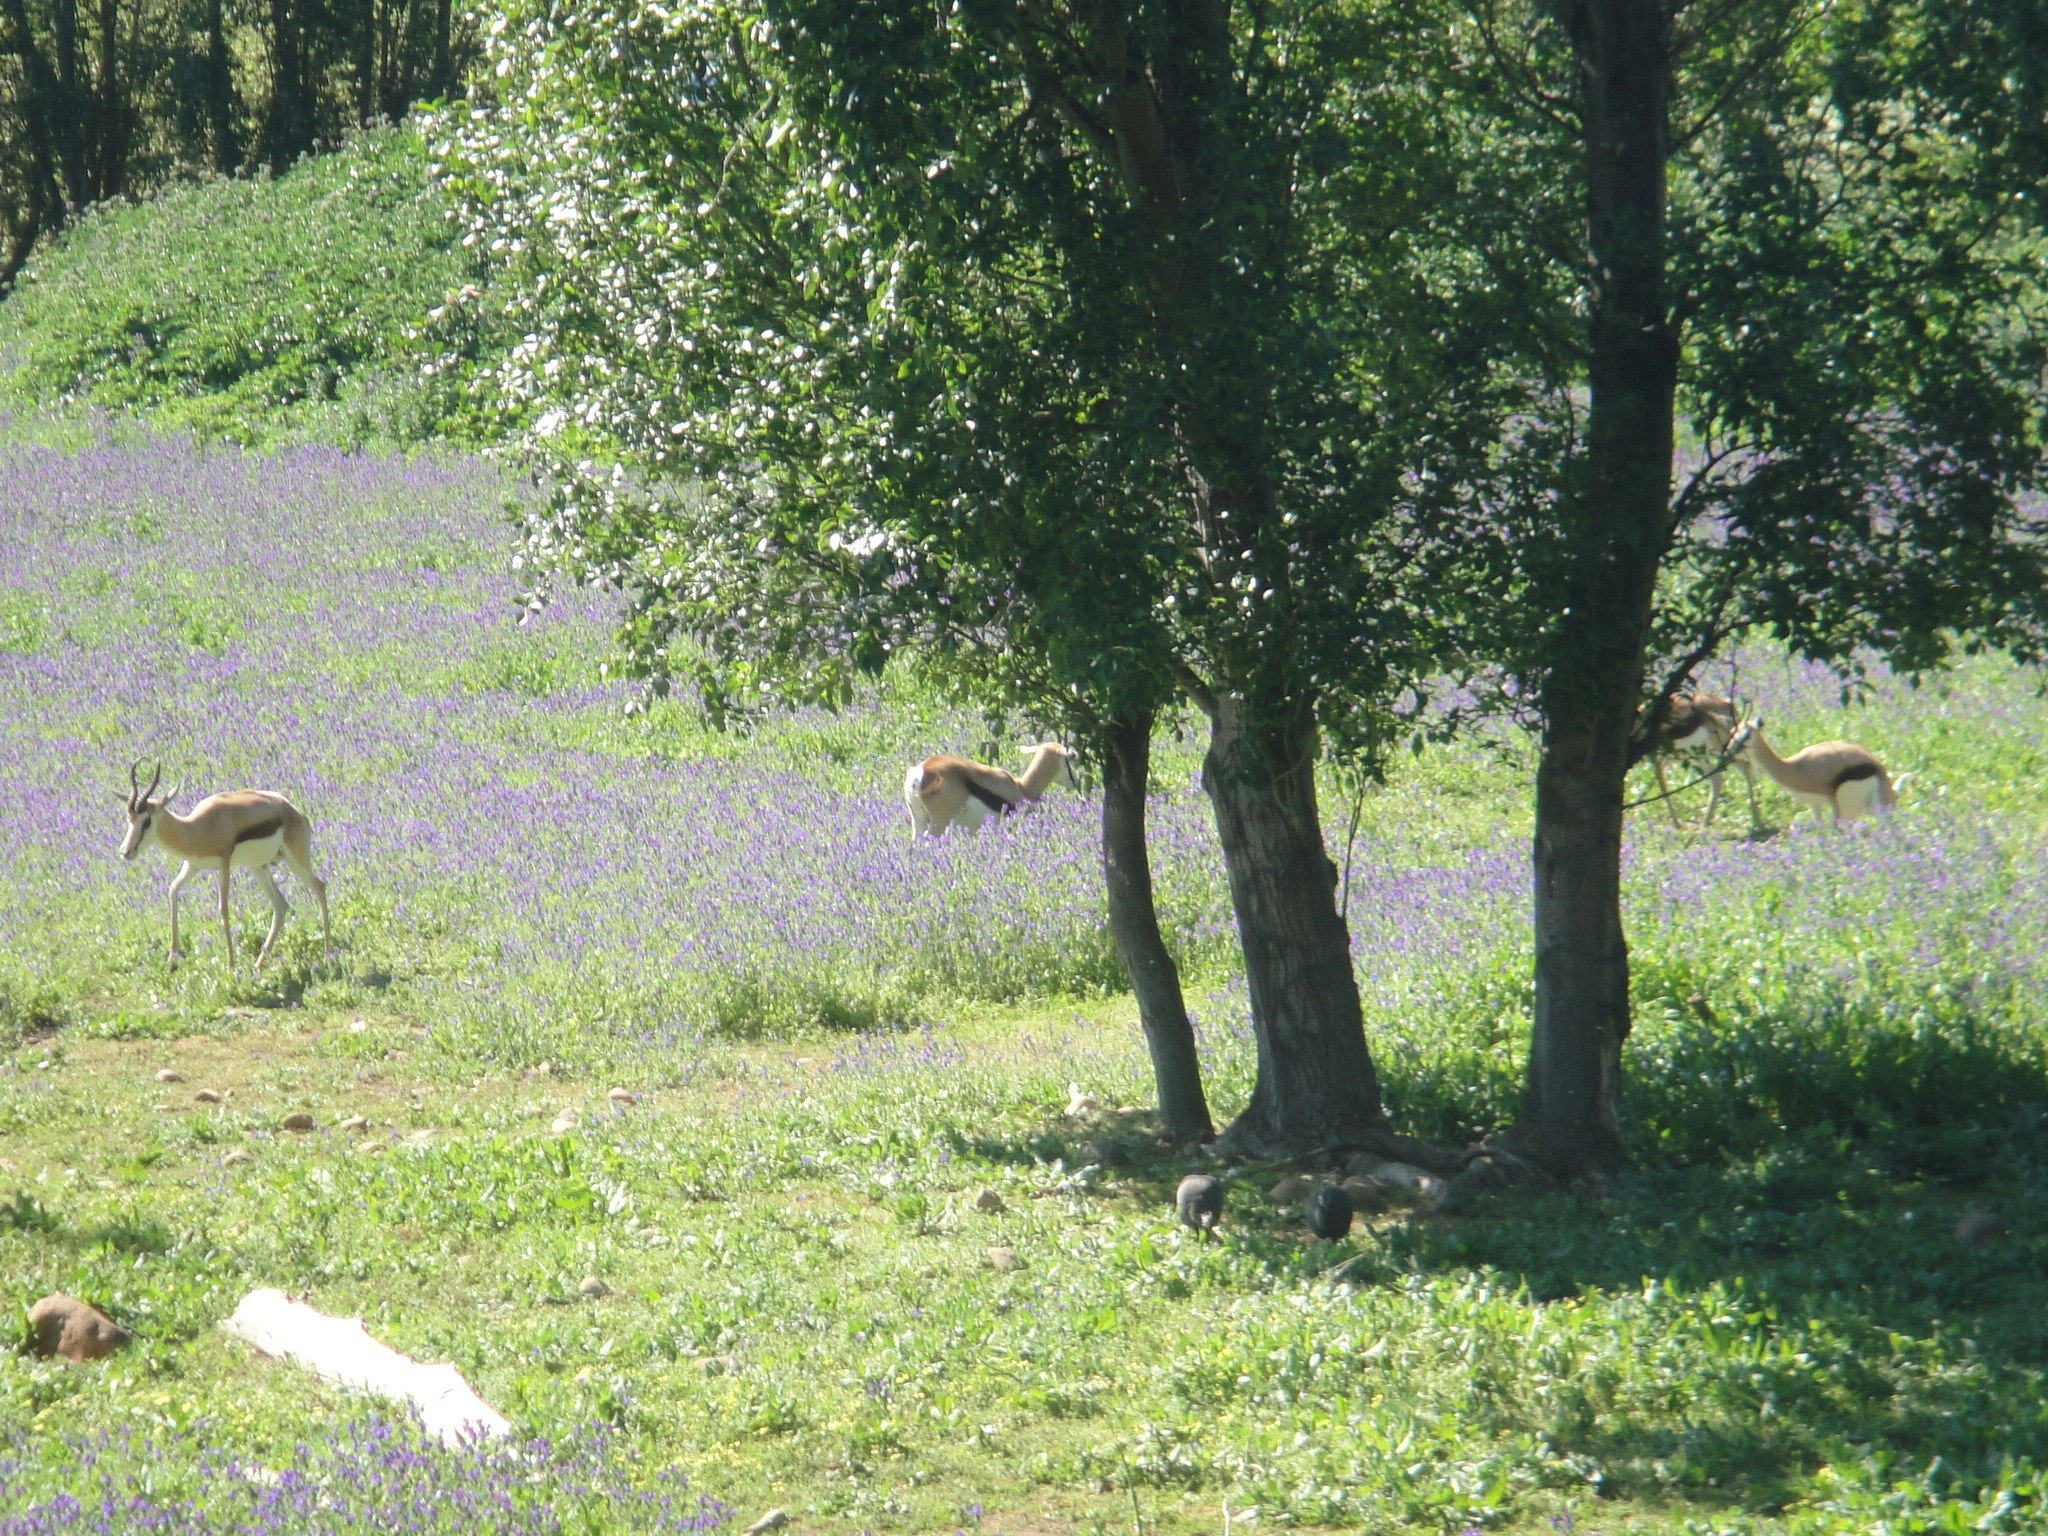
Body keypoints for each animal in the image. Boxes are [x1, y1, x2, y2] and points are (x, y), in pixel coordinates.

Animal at [119, 760, 332, 971]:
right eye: (129, 819)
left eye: (147, 820)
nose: (125, 851)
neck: (196, 827)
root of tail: (295, 811)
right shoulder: (193, 865)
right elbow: (172, 890)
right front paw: (171, 959)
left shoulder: (225, 864)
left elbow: (223, 908)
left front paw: (231, 964)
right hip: (258, 867)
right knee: (280, 905)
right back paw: (258, 965)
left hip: (296, 860)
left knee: (320, 887)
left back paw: (327, 955)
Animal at [903, 743, 1077, 837]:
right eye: (1068, 760)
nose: (1075, 781)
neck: (1021, 787)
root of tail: (920, 772)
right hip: (939, 823)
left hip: (919, 821)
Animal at [1652, 692, 1761, 830]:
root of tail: (1727, 704)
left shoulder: (1655, 758)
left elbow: (1663, 788)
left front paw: (1678, 825)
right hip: (1700, 756)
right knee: (1734, 771)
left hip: (1712, 752)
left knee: (1729, 773)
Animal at [1726, 717, 1902, 826]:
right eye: (1732, 732)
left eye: (1747, 735)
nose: (1728, 753)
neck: (1796, 767)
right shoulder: (1814, 804)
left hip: (1855, 811)